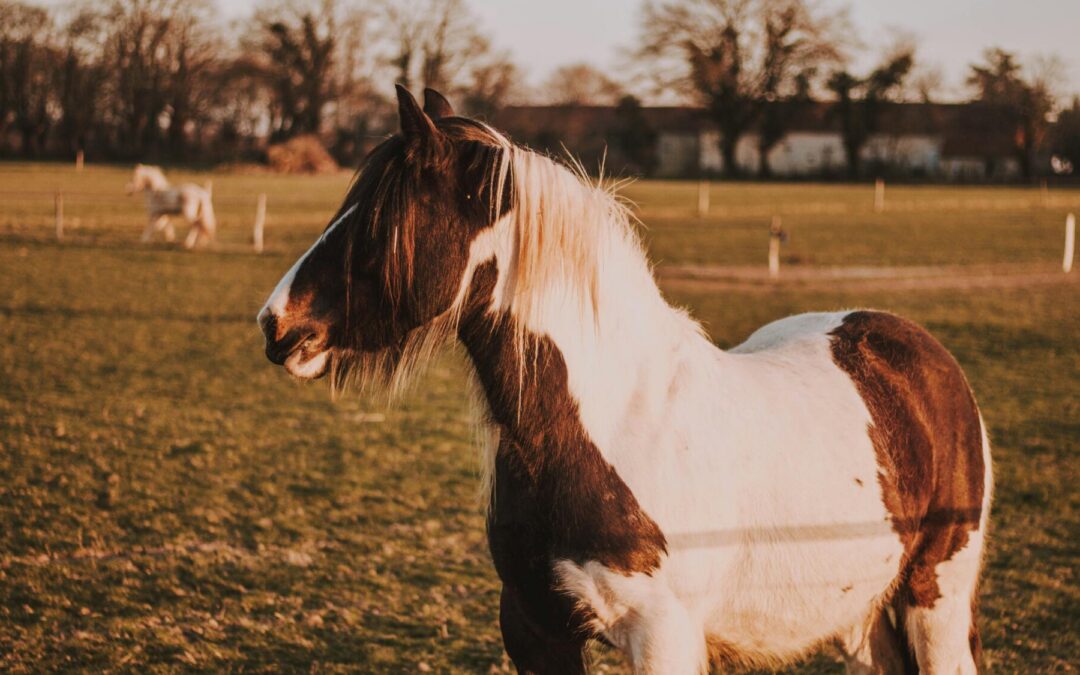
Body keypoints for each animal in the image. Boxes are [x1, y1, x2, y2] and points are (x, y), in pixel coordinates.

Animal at [257, 87, 992, 674]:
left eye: (381, 218)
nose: (275, 322)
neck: (603, 427)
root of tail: (923, 354)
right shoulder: (534, 629)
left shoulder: (661, 637)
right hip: (861, 614)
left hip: (933, 599)